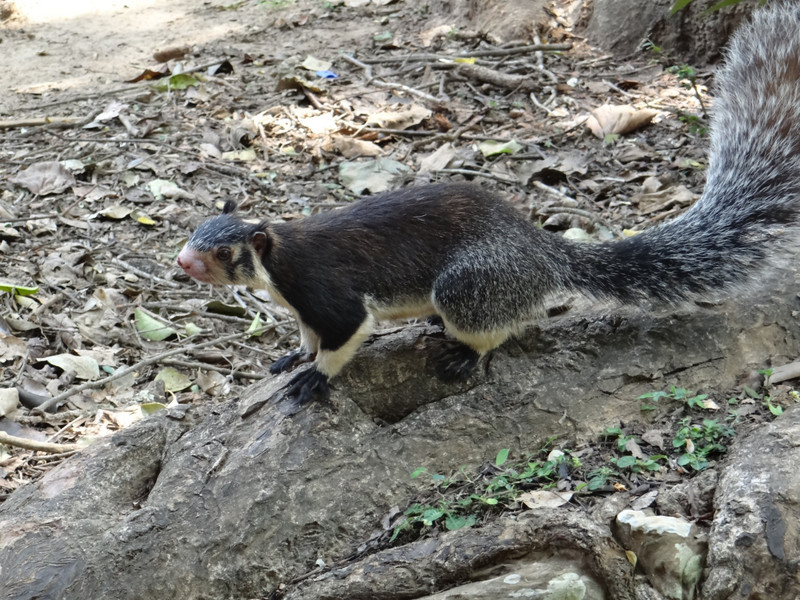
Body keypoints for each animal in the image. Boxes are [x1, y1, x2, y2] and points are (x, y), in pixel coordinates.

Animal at [178, 4, 800, 404]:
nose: (183, 262)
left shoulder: (327, 292)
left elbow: (342, 338)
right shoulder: (303, 307)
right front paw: (292, 356)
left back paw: (464, 354)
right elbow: (307, 338)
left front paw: (316, 378)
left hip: (469, 286)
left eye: (225, 251)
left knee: (498, 327)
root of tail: (544, 252)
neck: (278, 264)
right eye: (194, 231)